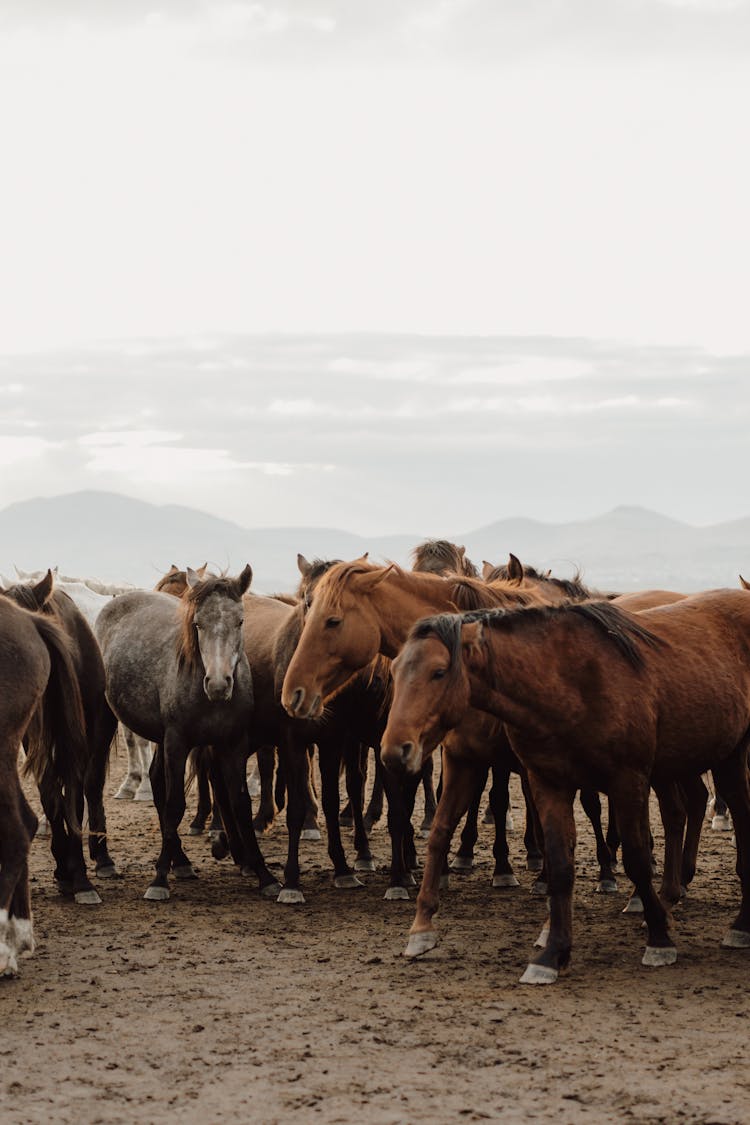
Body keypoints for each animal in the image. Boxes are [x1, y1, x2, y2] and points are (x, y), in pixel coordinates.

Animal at [382, 594, 750, 981]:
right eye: (394, 671)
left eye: (438, 672)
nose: (394, 750)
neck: (571, 684)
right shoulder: (539, 780)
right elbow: (556, 861)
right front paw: (551, 953)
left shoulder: (627, 780)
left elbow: (635, 858)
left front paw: (659, 938)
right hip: (703, 758)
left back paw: (732, 921)